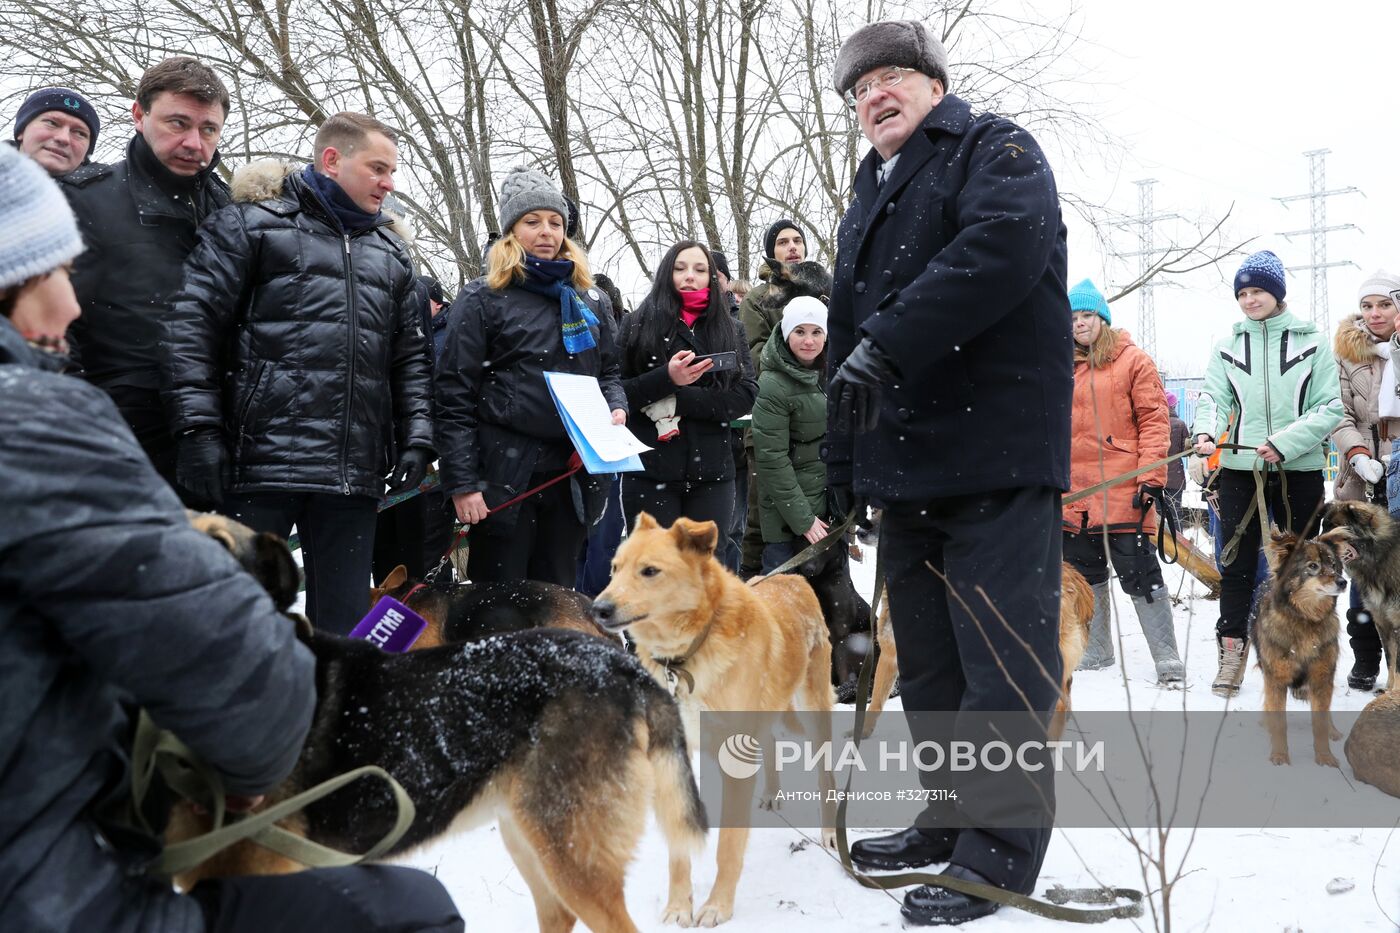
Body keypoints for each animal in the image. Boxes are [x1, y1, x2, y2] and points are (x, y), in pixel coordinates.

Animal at [588, 512, 828, 924]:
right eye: (615, 568)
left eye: (649, 571)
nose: (598, 608)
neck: (684, 657)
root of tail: (794, 579)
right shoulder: (670, 756)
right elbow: (679, 845)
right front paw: (677, 907)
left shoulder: (735, 760)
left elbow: (728, 847)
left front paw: (717, 906)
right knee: (770, 742)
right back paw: (771, 793)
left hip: (813, 712)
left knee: (828, 767)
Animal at [1260, 526, 1344, 767]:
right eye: (1313, 566)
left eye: (1334, 565)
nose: (1343, 582)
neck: (1306, 620)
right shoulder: (1276, 678)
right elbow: (1279, 721)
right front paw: (1279, 756)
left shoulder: (1322, 677)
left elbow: (1320, 723)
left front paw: (1325, 757)